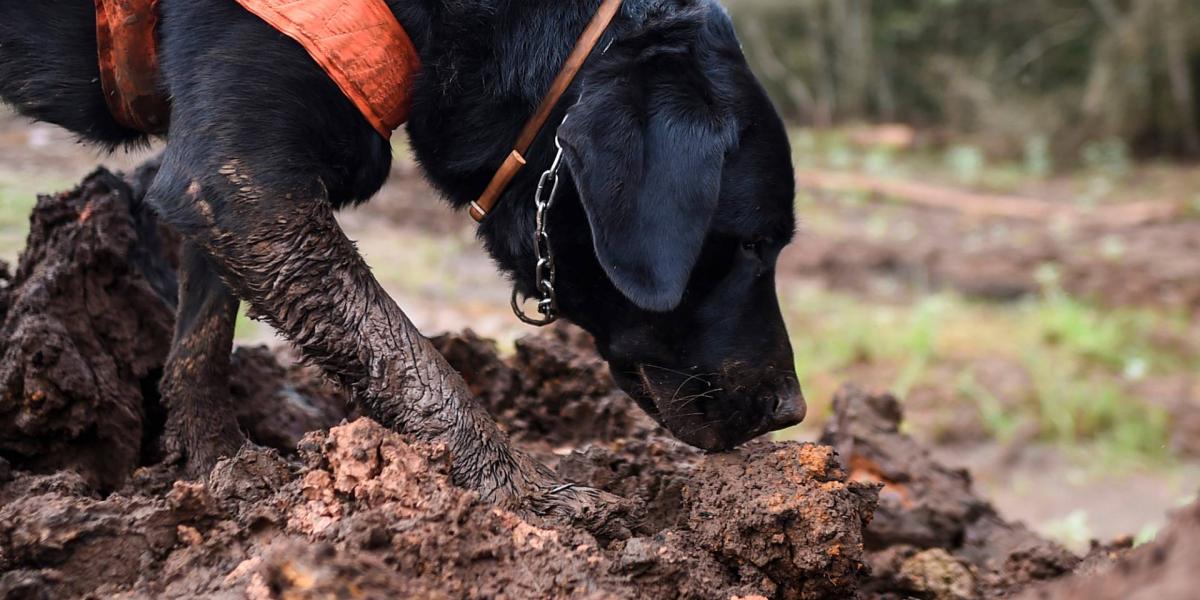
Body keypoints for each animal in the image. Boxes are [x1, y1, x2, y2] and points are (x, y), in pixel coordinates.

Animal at [4, 0, 806, 520]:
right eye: (753, 244)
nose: (793, 412)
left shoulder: (216, 183)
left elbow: (200, 344)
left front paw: (223, 472)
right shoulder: (242, 182)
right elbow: (413, 365)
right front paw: (530, 497)